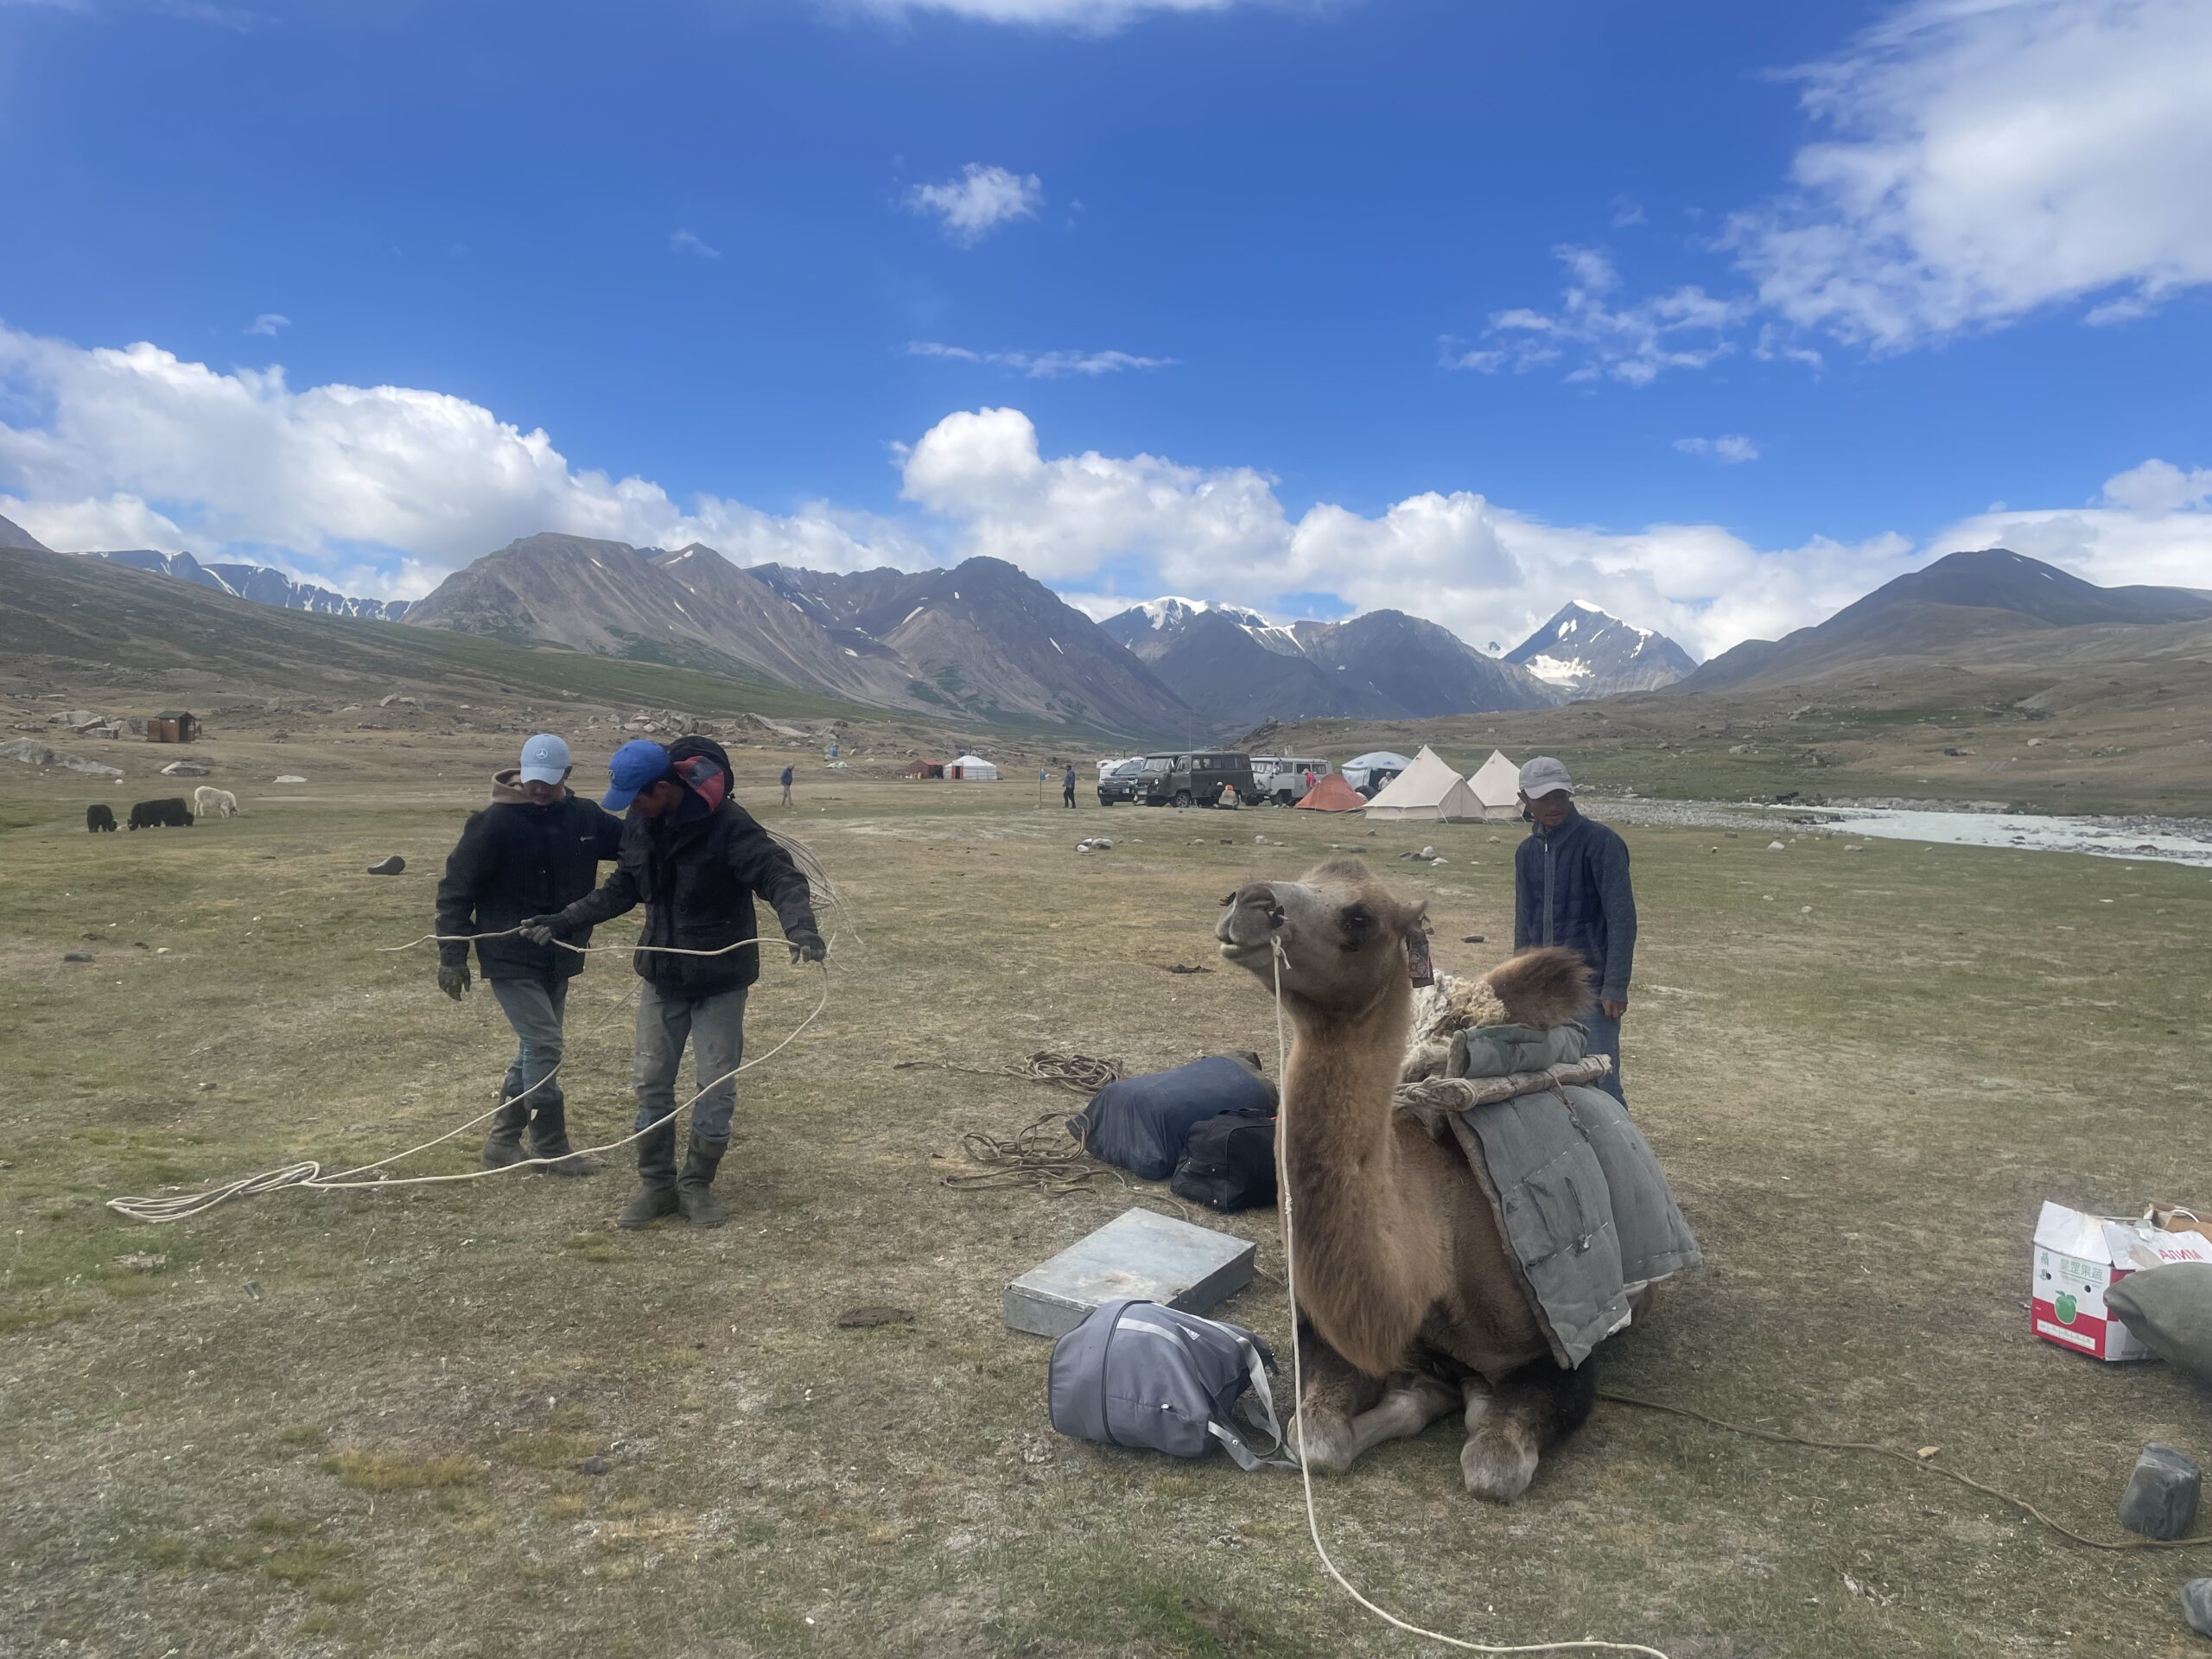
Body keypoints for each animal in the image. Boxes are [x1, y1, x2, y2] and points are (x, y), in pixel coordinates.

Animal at [1221, 862, 1637, 1503]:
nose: (1248, 901)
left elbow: (1492, 1464)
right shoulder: (1331, 1335)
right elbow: (1316, 1439)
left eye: (1360, 917)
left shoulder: (1562, 1354)